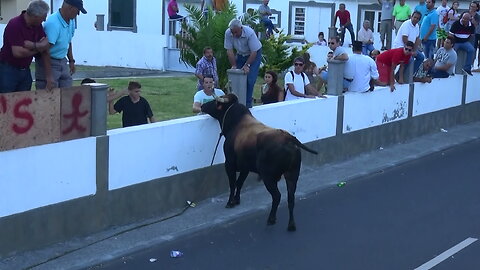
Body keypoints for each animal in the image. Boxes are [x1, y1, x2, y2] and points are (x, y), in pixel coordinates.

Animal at [200, 94, 316, 231]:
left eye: (215, 101)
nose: (202, 106)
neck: (236, 123)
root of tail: (289, 138)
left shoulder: (229, 164)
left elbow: (233, 184)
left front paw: (230, 202)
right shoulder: (245, 167)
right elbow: (240, 183)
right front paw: (237, 200)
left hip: (268, 177)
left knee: (277, 196)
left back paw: (271, 219)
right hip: (292, 174)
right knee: (291, 197)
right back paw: (291, 225)